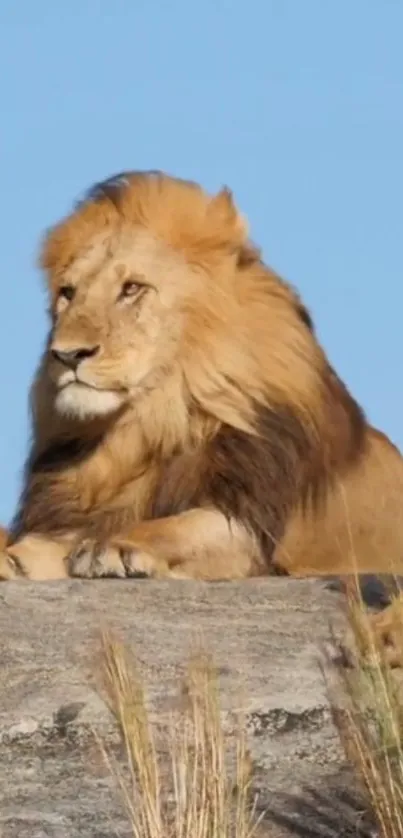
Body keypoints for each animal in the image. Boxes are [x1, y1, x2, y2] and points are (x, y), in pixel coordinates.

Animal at [2, 171, 403, 656]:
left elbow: (176, 526)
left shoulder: (248, 530)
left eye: (131, 288)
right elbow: (35, 549)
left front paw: (115, 545)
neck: (148, 426)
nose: (65, 355)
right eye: (67, 294)